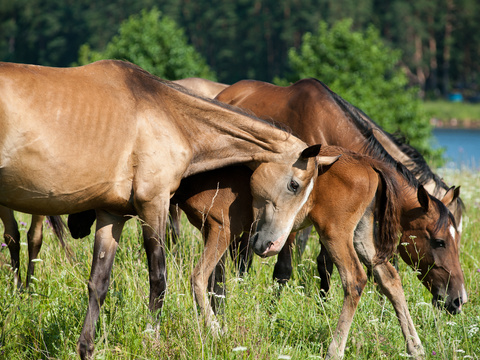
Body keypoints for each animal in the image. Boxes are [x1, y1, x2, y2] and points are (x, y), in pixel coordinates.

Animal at [0, 60, 326, 358]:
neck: (169, 115)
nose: (271, 245)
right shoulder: (154, 204)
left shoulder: (111, 214)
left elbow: (98, 283)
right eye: (295, 185)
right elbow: (159, 279)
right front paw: (151, 338)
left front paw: (87, 348)